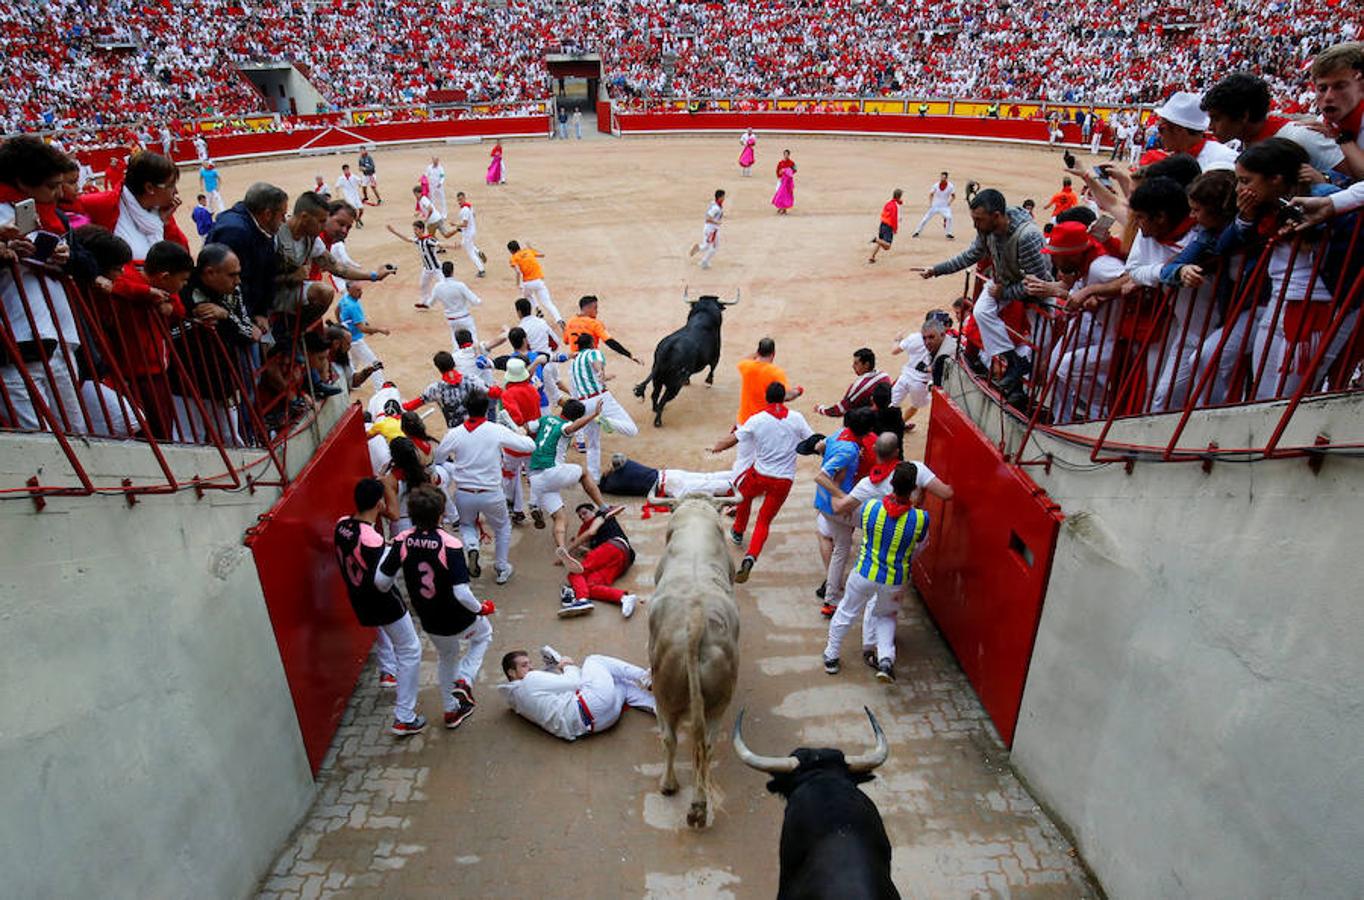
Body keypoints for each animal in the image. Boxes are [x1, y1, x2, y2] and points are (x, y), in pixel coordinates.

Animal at [630, 291, 731, 425]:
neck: (704, 315)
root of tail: (668, 349)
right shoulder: (716, 355)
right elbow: (712, 368)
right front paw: (708, 382)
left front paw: (689, 381)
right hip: (674, 384)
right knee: (663, 399)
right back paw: (658, 422)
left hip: (657, 378)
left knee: (655, 395)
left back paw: (655, 410)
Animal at [643, 490, 742, 829]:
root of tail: (697, 619)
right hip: (719, 703)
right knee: (705, 744)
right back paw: (698, 807)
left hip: (665, 698)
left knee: (670, 738)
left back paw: (669, 785)